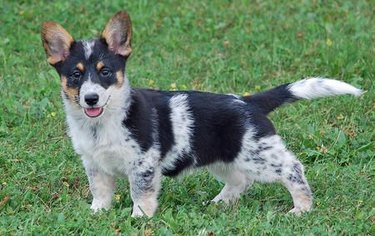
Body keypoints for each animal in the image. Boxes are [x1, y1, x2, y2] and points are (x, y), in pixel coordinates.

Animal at [41, 11, 364, 218]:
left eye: (105, 72)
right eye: (75, 75)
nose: (91, 98)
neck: (103, 122)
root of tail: (250, 101)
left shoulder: (143, 165)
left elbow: (140, 194)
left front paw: (139, 218)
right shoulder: (94, 164)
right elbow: (100, 191)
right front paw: (97, 213)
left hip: (259, 156)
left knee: (293, 169)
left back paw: (301, 208)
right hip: (223, 158)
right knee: (240, 181)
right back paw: (219, 203)